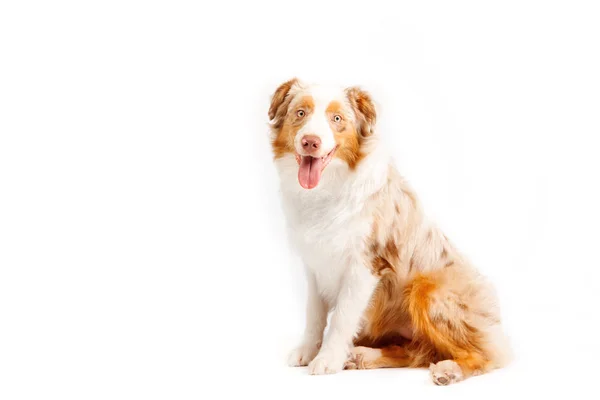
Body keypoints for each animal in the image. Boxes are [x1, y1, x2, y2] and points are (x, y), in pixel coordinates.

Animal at [270, 78, 508, 384]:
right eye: (300, 113)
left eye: (337, 119)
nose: (310, 142)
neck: (329, 188)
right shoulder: (314, 263)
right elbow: (314, 314)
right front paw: (307, 351)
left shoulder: (365, 264)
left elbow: (342, 317)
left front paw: (327, 359)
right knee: (417, 350)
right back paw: (363, 356)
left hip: (426, 289)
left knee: (484, 356)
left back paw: (448, 370)